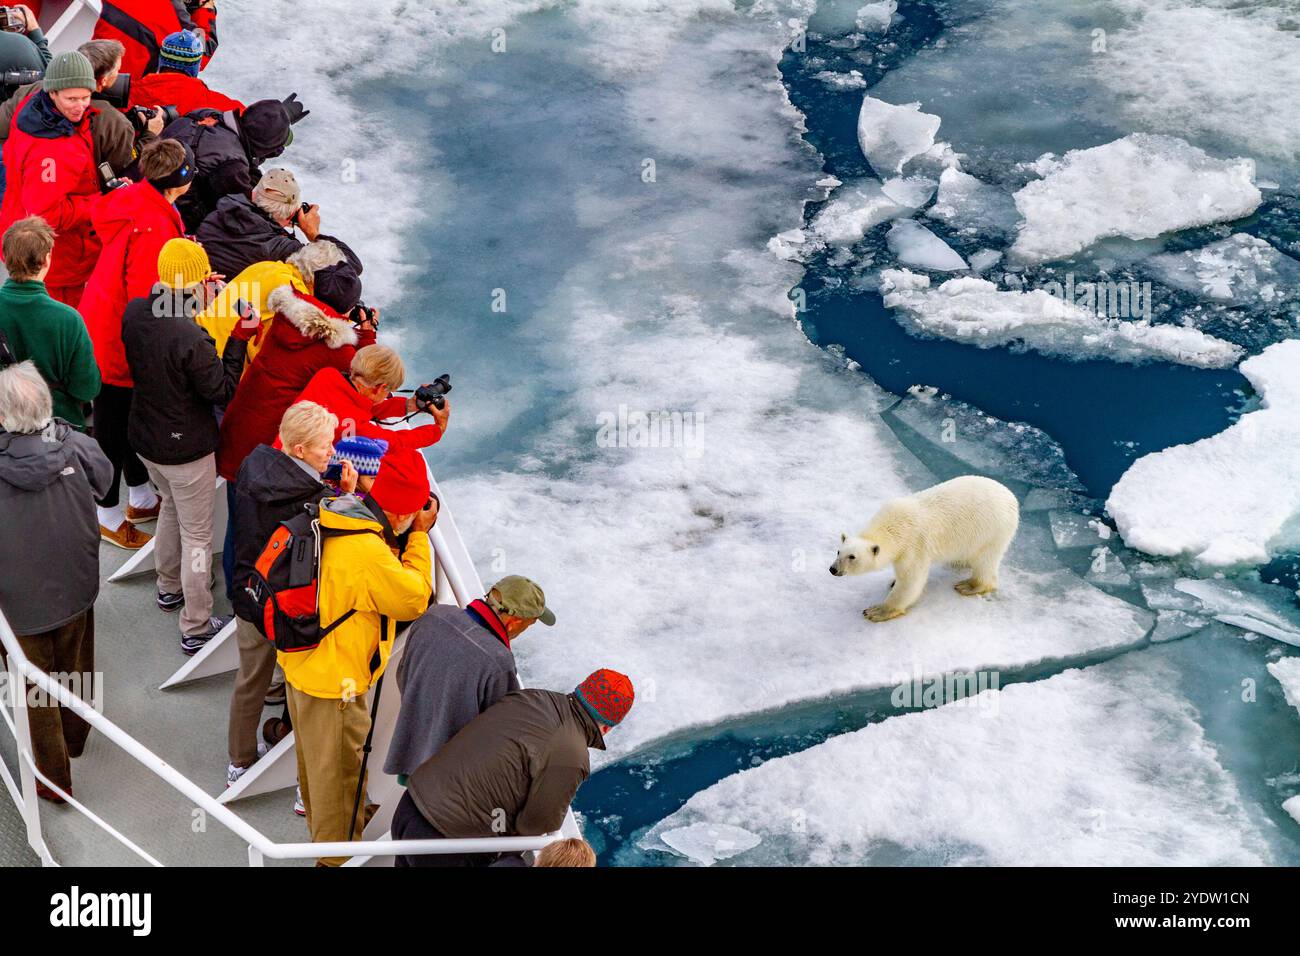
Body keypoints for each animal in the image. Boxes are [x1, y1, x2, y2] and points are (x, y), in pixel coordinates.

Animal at [826, 476, 1019, 624]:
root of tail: (1012, 498)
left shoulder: (913, 546)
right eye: (838, 552)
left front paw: (876, 611)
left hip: (992, 531)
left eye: (852, 557)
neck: (892, 526)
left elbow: (911, 581)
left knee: (985, 561)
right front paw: (893, 581)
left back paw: (968, 586)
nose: (833, 569)